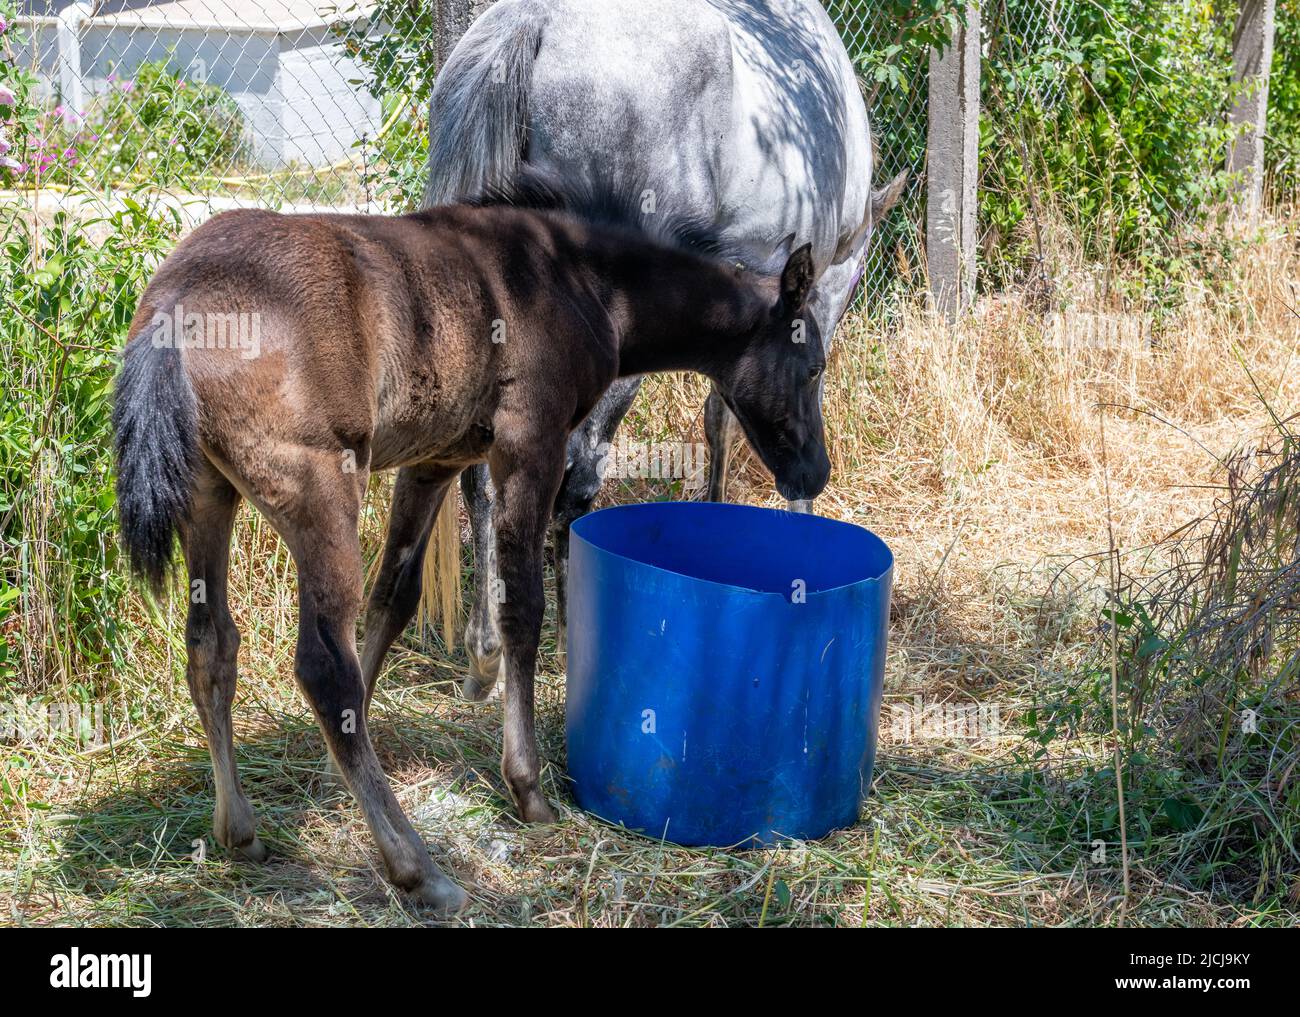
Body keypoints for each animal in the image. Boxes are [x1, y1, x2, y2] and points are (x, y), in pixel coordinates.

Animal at [421, 0, 899, 702]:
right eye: (814, 368)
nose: (812, 474)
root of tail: (530, 22)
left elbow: (719, 409)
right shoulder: (823, 288)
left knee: (485, 476)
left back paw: (487, 658)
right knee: (574, 472)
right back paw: (554, 639)